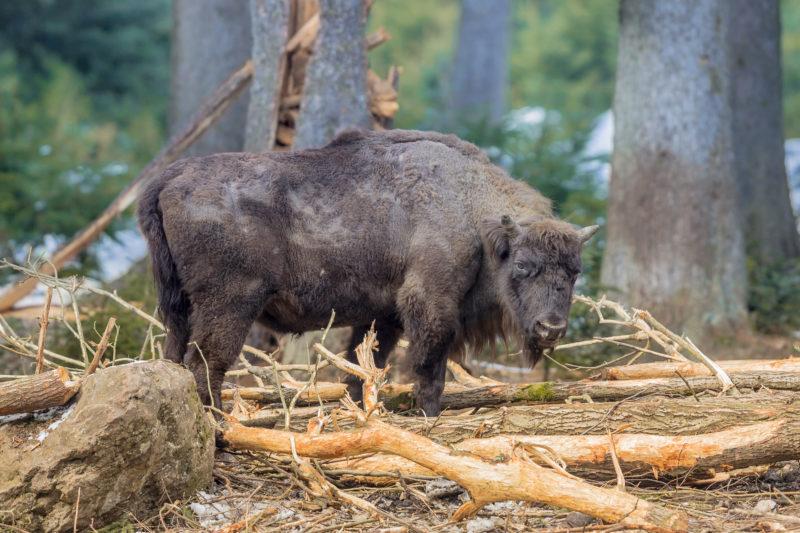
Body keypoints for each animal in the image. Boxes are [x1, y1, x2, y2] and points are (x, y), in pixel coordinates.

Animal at [141, 130, 596, 416]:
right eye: (523, 266)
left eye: (575, 272)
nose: (551, 328)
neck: (470, 209)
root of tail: (168, 177)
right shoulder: (430, 305)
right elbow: (429, 367)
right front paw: (428, 416)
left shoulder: (384, 315)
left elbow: (363, 367)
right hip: (231, 303)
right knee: (207, 363)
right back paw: (220, 424)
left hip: (179, 306)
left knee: (176, 355)